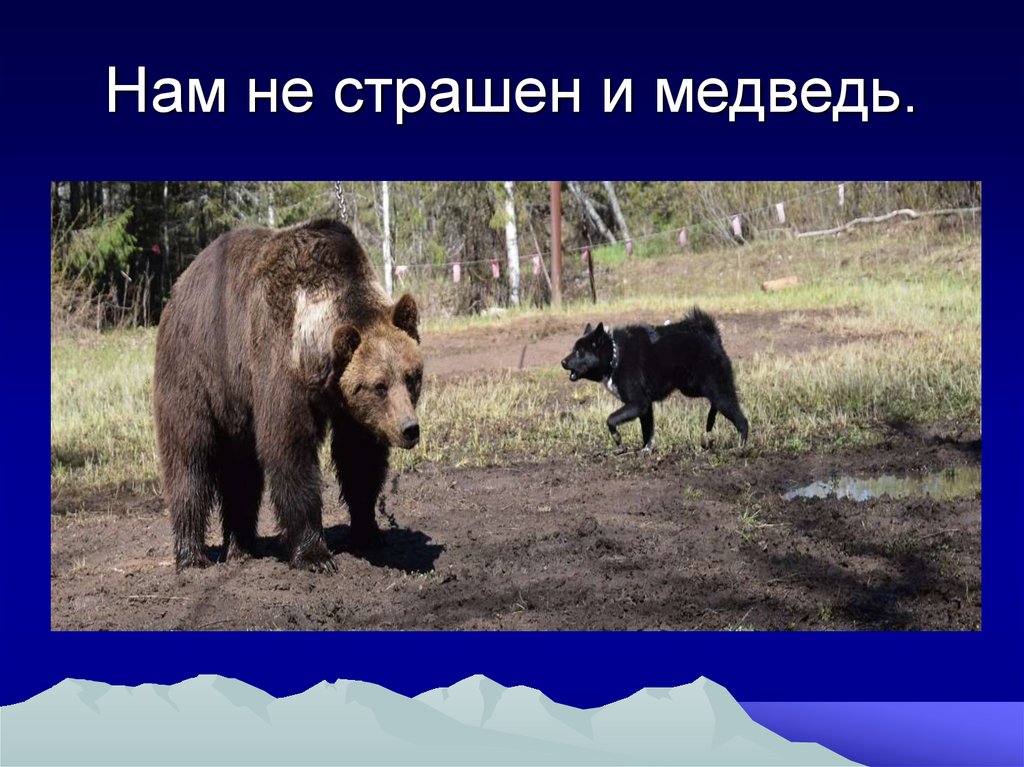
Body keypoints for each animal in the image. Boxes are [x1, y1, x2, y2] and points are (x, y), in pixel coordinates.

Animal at [153, 218, 423, 573]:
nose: (409, 429)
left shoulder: (350, 408)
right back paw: (192, 555)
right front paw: (314, 554)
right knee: (189, 457)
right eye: (379, 385)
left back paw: (242, 547)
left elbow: (359, 458)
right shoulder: (279, 366)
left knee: (241, 471)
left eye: (412, 376)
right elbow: (290, 448)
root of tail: (181, 282)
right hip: (195, 369)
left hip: (237, 405)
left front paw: (369, 532)